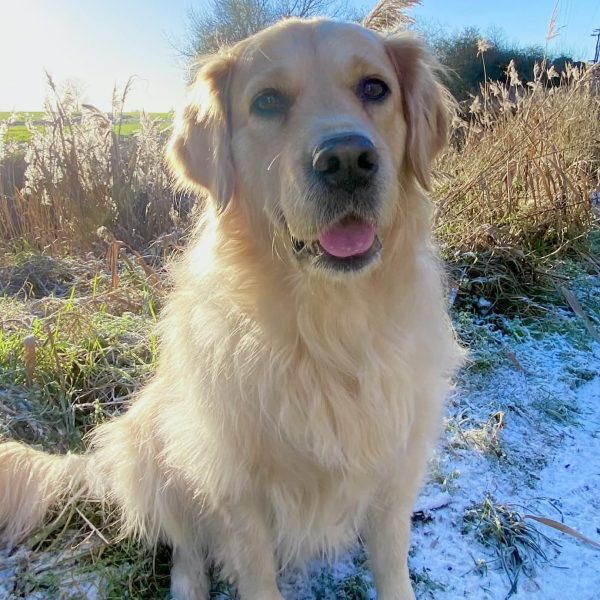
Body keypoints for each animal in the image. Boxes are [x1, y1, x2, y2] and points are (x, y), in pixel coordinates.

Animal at [0, 18, 461, 600]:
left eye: (374, 88)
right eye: (267, 101)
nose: (347, 161)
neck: (329, 324)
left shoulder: (394, 470)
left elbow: (393, 567)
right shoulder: (238, 491)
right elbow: (252, 572)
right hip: (156, 448)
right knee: (185, 545)